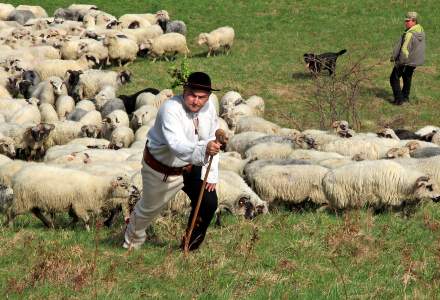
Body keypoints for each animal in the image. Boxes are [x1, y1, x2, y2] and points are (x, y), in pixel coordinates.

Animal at [6, 164, 135, 230]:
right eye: (123, 185)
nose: (132, 192)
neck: (98, 187)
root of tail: (17, 175)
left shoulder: (73, 205)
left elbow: (75, 219)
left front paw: (67, 227)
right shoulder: (79, 204)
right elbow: (86, 219)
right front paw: (88, 231)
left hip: (32, 200)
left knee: (36, 212)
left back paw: (49, 224)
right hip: (22, 200)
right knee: (11, 212)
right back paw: (10, 226)